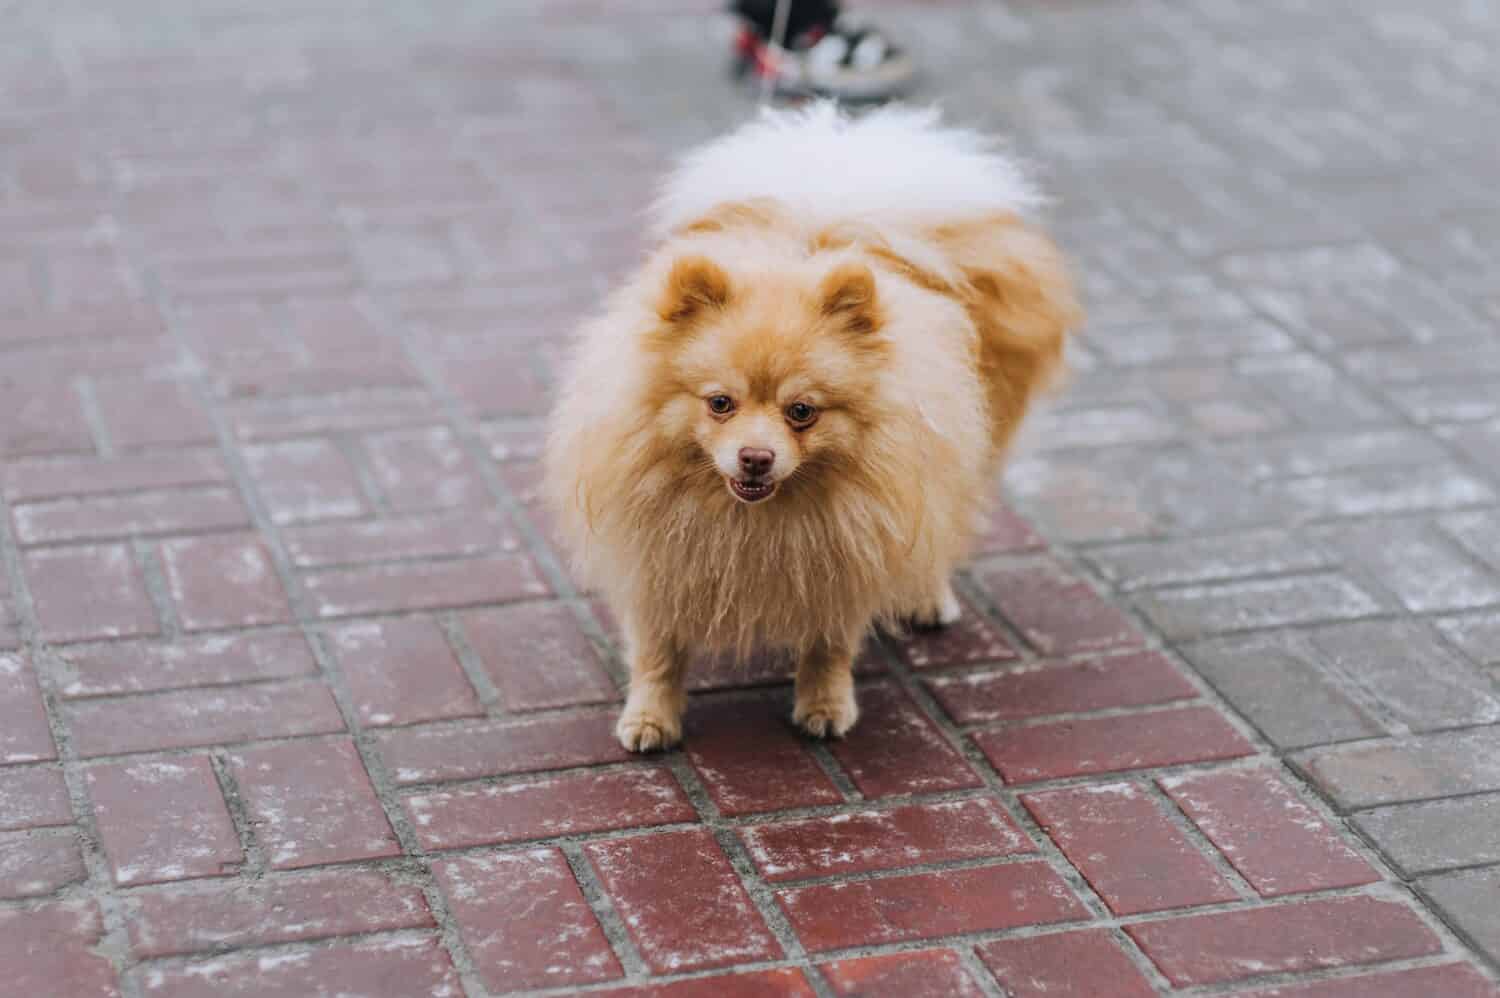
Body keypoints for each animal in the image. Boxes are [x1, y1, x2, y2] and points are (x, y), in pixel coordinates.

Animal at [546, 107, 1086, 747]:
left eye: (801, 411)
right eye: (720, 403)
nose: (755, 457)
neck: (751, 520)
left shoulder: (851, 545)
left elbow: (830, 642)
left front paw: (826, 705)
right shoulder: (658, 556)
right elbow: (658, 650)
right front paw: (650, 718)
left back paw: (926, 597)